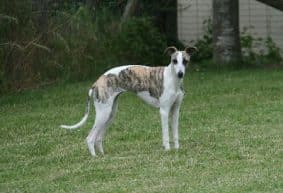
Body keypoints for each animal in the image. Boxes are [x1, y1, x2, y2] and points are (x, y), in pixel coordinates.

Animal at [60, 46, 197, 157]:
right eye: (174, 61)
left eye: (185, 61)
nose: (180, 74)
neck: (172, 79)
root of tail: (96, 82)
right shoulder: (164, 111)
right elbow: (166, 134)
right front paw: (168, 150)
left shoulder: (175, 111)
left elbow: (175, 133)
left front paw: (177, 149)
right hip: (103, 114)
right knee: (90, 137)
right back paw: (95, 157)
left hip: (110, 114)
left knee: (98, 137)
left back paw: (103, 155)